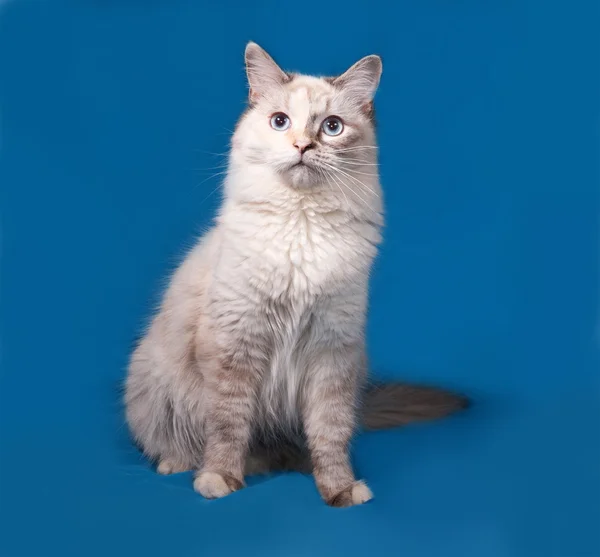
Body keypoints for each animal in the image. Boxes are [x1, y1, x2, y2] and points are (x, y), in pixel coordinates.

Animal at [124, 41, 466, 506]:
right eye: (280, 122)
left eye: (332, 127)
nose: (303, 145)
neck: (301, 226)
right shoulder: (236, 348)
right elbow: (228, 427)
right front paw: (220, 480)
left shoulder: (331, 352)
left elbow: (329, 432)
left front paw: (339, 489)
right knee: (179, 442)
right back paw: (186, 465)